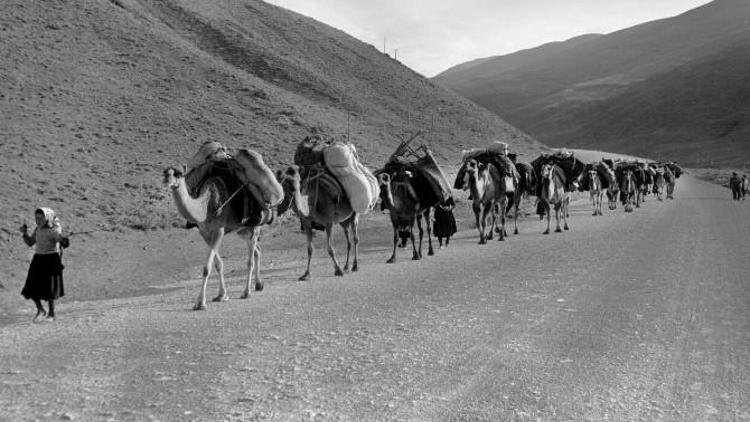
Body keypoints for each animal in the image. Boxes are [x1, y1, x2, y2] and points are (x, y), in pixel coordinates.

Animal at [164, 167, 268, 310]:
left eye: (179, 174)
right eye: (165, 172)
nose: (166, 180)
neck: (206, 206)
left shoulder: (219, 230)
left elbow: (206, 268)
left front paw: (201, 303)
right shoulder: (204, 232)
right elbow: (218, 264)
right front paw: (221, 295)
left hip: (254, 225)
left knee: (250, 259)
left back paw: (247, 292)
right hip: (242, 230)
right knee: (257, 250)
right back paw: (259, 285)